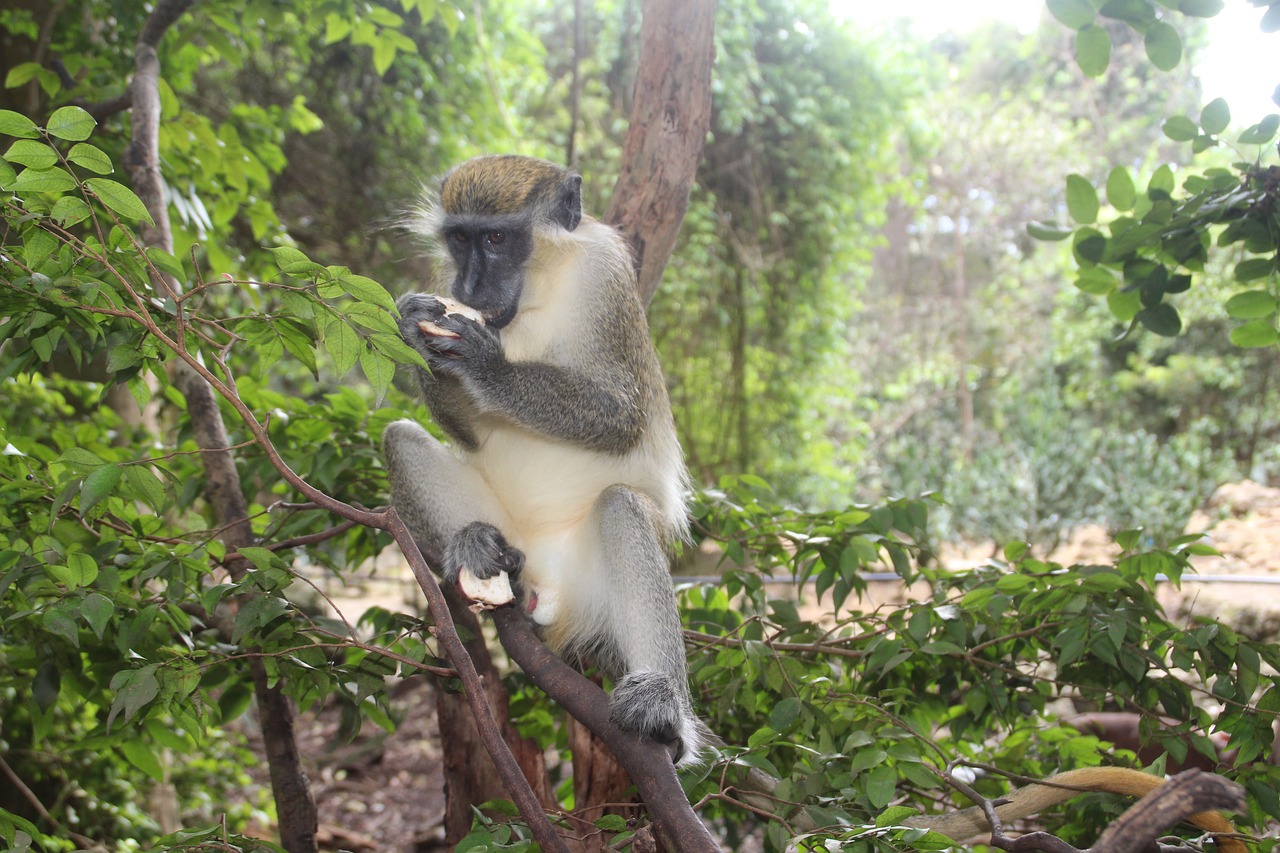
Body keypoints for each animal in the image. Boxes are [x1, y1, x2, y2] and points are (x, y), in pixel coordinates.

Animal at [381, 156, 701, 758]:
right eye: (460, 239)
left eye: (497, 238)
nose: (468, 286)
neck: (537, 290)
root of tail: (548, 590)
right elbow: (472, 435)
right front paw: (414, 328)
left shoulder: (604, 276)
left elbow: (620, 415)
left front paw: (489, 367)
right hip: (513, 537)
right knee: (398, 439)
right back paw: (479, 548)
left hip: (594, 582)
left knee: (622, 506)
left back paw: (663, 710)